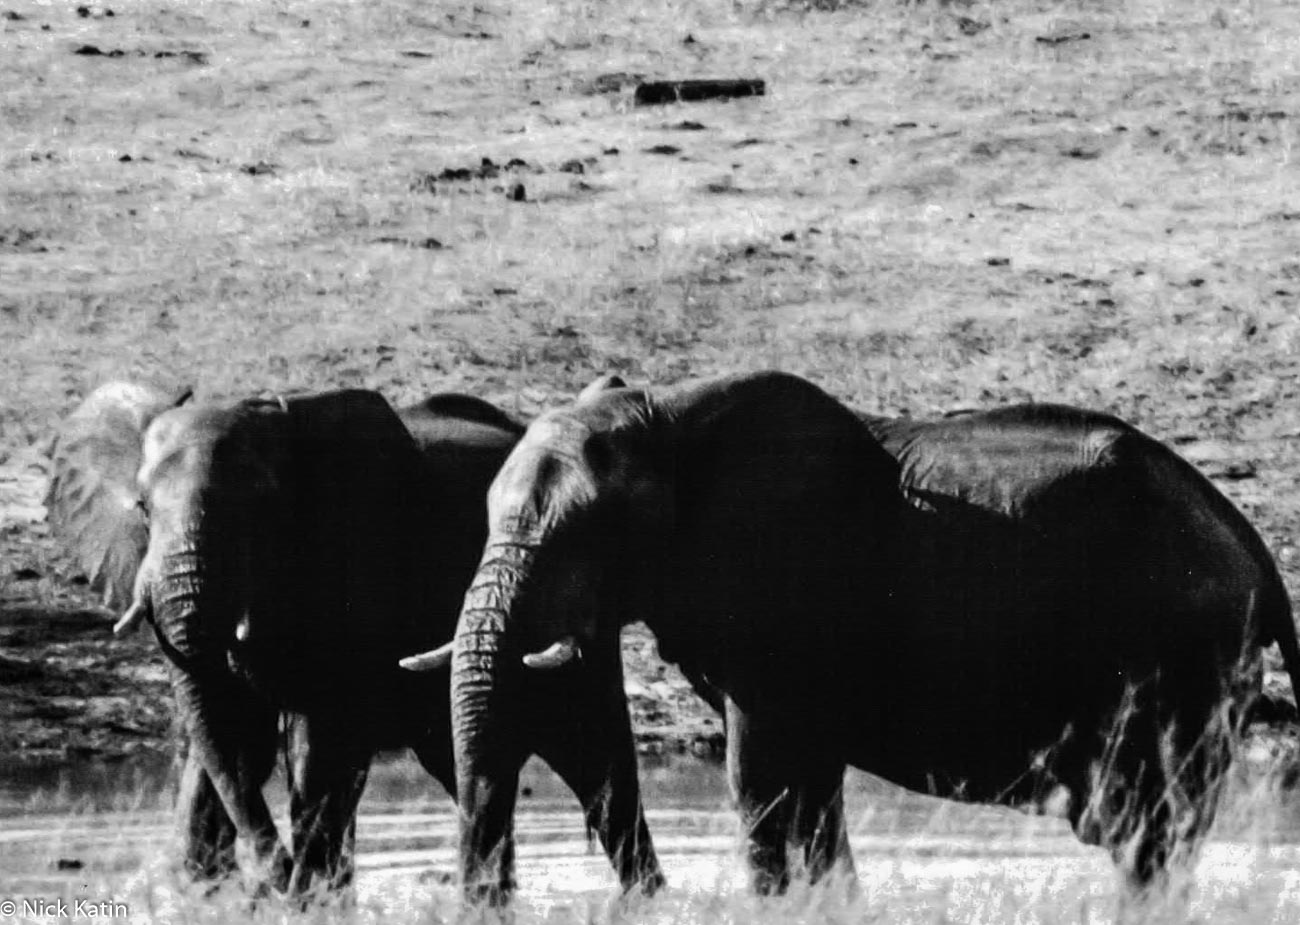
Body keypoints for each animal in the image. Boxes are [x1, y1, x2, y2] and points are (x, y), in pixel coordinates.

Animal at [46, 382, 664, 899]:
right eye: (142, 509)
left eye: (258, 510)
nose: (271, 881)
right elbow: (227, 738)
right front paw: (218, 897)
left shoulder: (359, 562)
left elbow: (320, 744)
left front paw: (305, 898)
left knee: (591, 757)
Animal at [400, 370, 1300, 904]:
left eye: (582, 533)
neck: (668, 422)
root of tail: (1250, 538)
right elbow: (811, 796)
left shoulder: (775, 599)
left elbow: (760, 783)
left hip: (1184, 660)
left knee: (1154, 830)